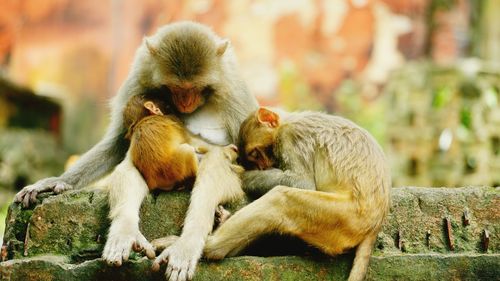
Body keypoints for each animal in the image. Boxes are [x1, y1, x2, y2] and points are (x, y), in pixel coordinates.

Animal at [12, 21, 258, 280]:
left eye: (194, 87)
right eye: (175, 88)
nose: (185, 102)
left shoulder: (233, 87)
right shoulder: (141, 74)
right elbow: (119, 143)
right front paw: (56, 182)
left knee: (215, 163)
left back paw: (188, 242)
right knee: (129, 163)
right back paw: (125, 233)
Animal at [200, 106, 390, 280]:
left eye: (255, 154)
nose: (263, 166)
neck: (287, 121)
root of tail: (375, 224)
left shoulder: (291, 138)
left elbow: (302, 182)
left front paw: (241, 175)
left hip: (345, 217)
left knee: (280, 199)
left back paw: (211, 247)